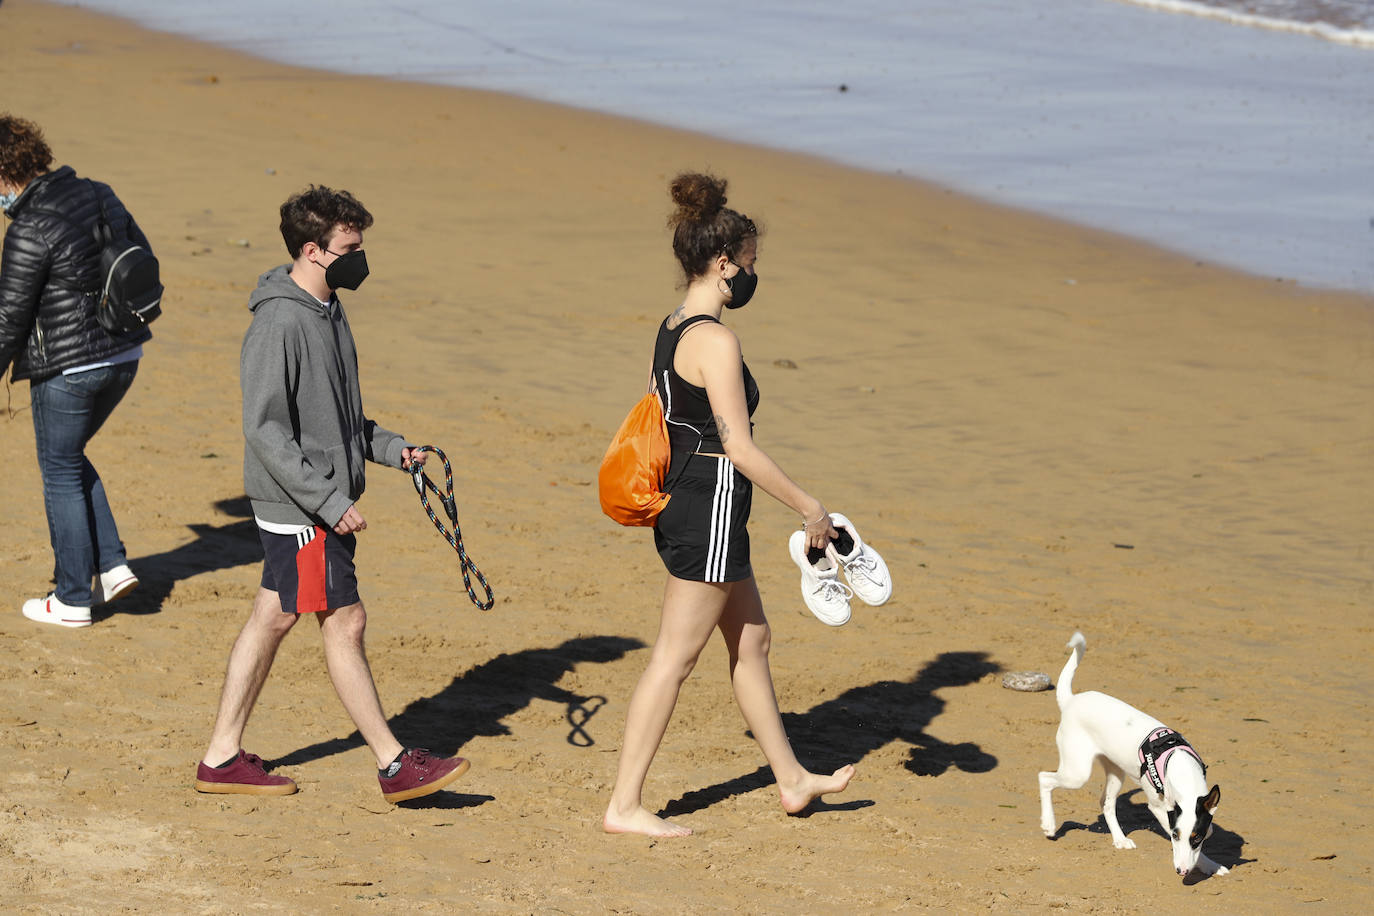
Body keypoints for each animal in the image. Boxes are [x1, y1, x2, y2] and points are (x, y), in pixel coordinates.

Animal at [1038, 631, 1225, 878]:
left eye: (1197, 837)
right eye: (1175, 836)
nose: (1181, 871)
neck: (1180, 766)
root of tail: (1071, 700)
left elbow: (1208, 831)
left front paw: (1211, 864)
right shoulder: (1160, 809)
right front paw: (1206, 864)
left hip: (1116, 773)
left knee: (1106, 803)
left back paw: (1119, 840)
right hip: (1077, 773)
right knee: (1044, 778)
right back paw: (1049, 825)